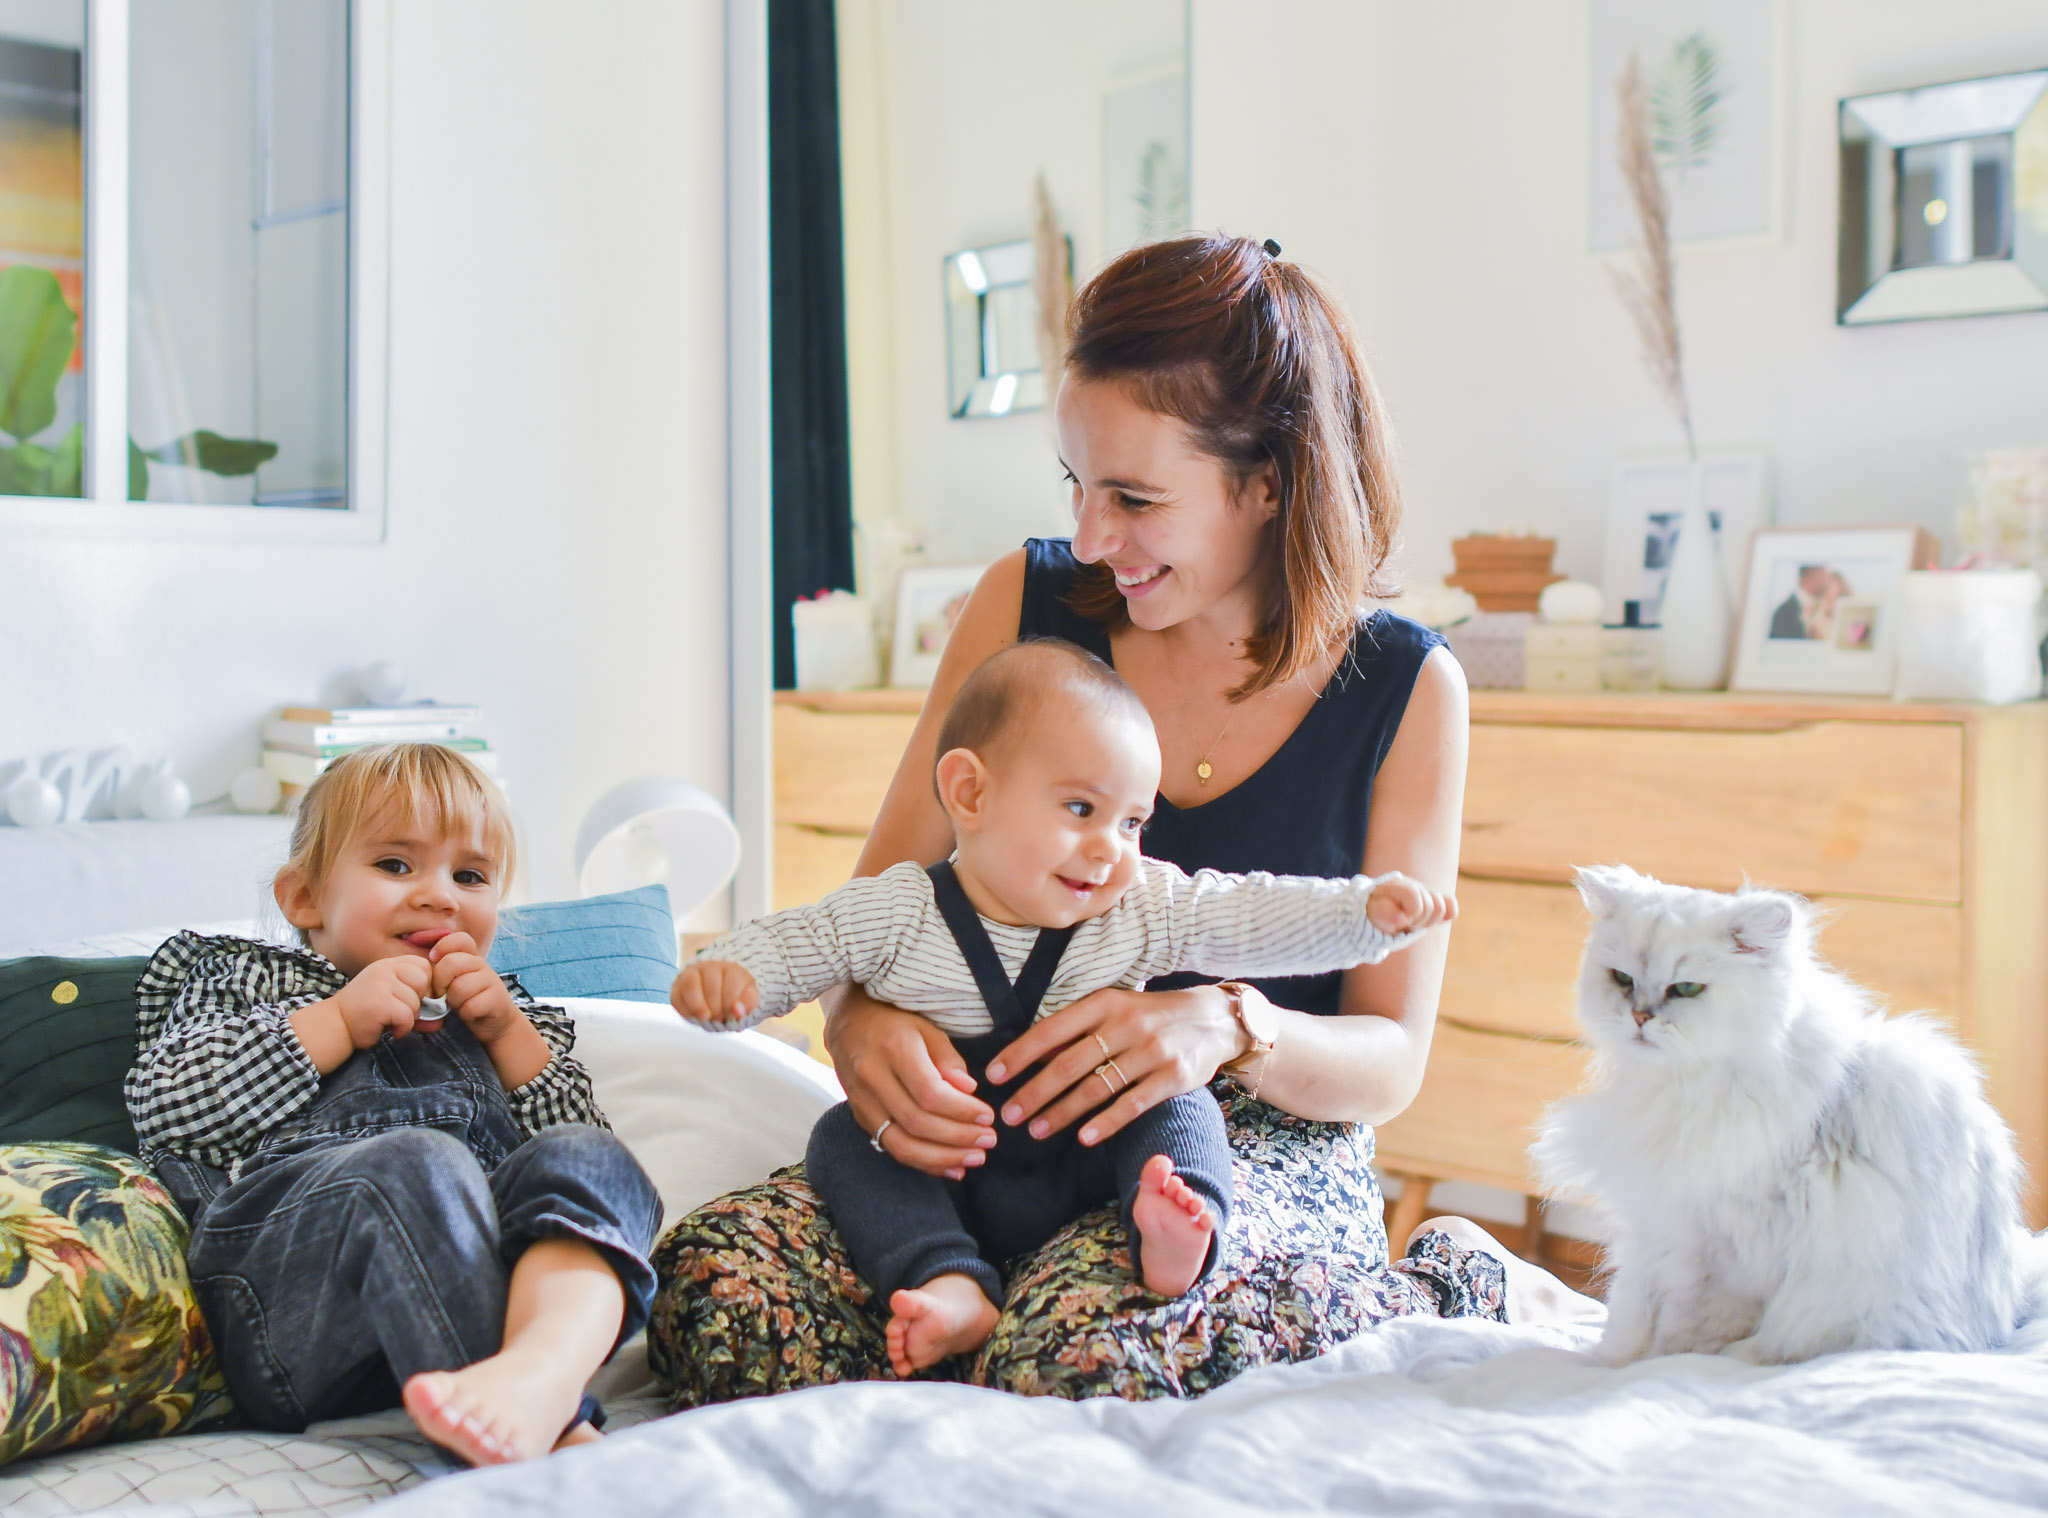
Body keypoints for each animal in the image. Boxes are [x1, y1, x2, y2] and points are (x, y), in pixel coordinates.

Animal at [1531, 860, 2039, 1368]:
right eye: (1621, 979)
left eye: (1687, 989)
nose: (1639, 1017)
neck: (1683, 1086)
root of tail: (1990, 1329)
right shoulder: (1656, 1225)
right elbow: (1629, 1313)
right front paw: (1606, 1359)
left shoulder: (1717, 1246)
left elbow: (1681, 1330)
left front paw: (1646, 1365)